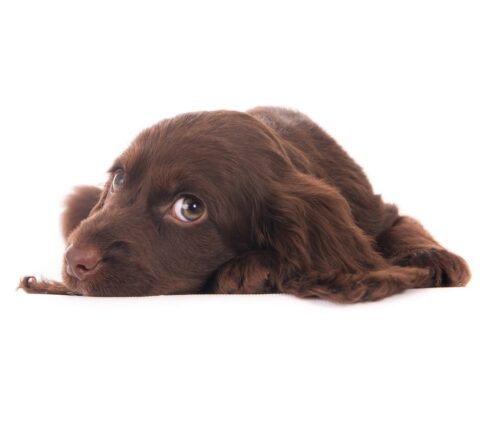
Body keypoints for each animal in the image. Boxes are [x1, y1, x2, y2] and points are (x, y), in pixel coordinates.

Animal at [17, 107, 468, 302]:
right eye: (119, 180)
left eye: (190, 209)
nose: (76, 260)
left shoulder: (375, 210)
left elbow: (404, 227)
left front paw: (433, 258)